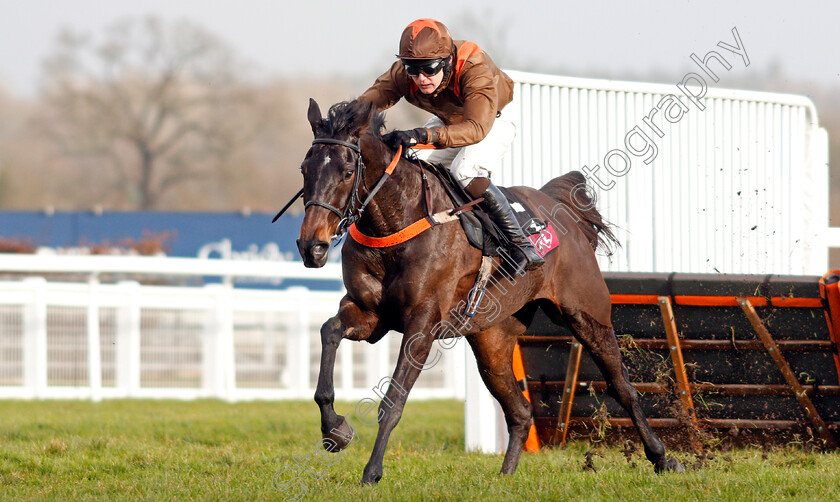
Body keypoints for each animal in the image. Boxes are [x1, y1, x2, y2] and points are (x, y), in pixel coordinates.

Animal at [296, 96, 684, 484]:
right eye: (304, 170)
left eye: (348, 172)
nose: (311, 247)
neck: (396, 224)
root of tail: (561, 211)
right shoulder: (370, 315)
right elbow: (328, 332)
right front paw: (335, 430)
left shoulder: (422, 323)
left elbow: (394, 399)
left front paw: (372, 472)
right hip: (491, 341)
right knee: (521, 410)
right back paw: (506, 476)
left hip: (587, 315)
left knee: (623, 387)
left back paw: (664, 458)